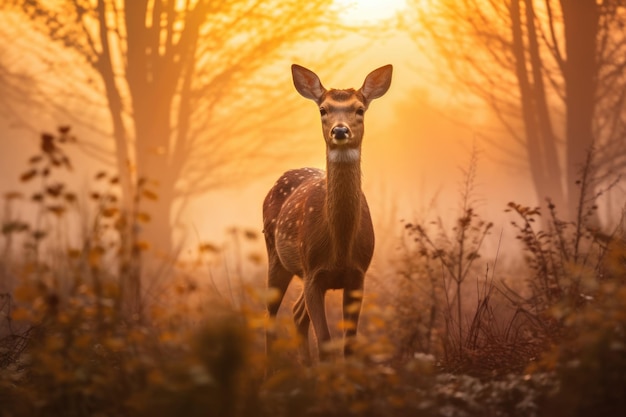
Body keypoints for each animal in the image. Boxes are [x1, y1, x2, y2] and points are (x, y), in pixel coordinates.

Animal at [262, 63, 390, 362]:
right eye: (323, 109)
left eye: (360, 109)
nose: (340, 131)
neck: (339, 251)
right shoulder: (313, 273)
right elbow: (325, 343)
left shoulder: (358, 275)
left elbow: (349, 345)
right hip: (276, 256)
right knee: (270, 318)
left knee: (297, 314)